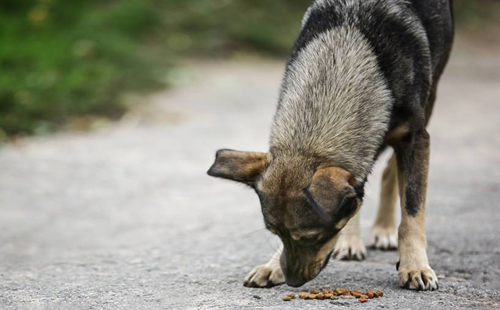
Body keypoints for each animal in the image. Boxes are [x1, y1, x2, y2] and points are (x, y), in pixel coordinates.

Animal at [207, 0, 454, 290]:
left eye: (312, 237)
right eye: (277, 233)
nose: (292, 281)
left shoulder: (415, 139)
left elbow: (412, 212)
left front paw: (415, 266)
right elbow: (354, 202)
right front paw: (273, 264)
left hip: (430, 98)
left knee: (388, 174)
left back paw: (383, 229)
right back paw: (352, 242)